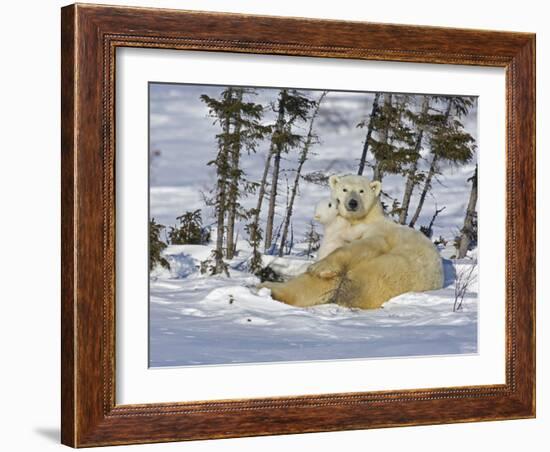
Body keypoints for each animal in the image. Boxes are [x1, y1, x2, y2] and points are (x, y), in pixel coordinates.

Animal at [260, 175, 446, 308]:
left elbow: (363, 246)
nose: (353, 203)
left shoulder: (379, 232)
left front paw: (319, 267)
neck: (359, 220)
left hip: (392, 270)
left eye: (361, 191)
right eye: (344, 189)